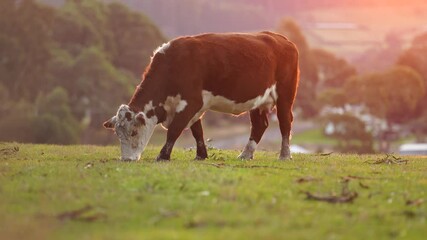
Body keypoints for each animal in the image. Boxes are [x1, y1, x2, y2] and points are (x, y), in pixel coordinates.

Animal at [103, 30, 300, 161]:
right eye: (118, 134)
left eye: (134, 131)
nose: (126, 160)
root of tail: (282, 39)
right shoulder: (193, 105)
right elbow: (197, 130)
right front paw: (201, 155)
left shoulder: (191, 101)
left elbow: (175, 129)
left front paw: (163, 156)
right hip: (258, 100)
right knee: (260, 125)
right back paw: (246, 154)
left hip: (285, 95)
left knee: (285, 121)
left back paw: (284, 155)